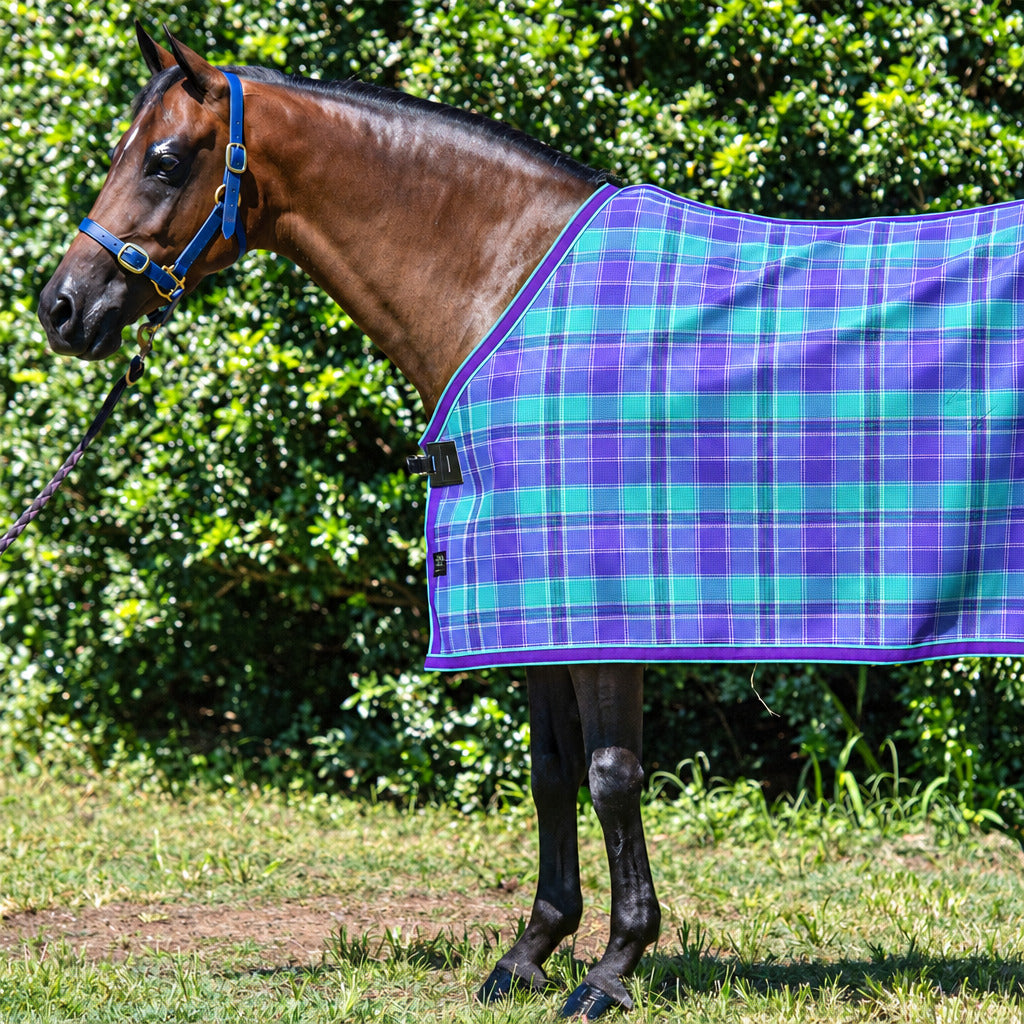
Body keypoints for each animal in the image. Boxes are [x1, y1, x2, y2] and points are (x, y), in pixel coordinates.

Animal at [38, 25, 656, 1020]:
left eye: (164, 161)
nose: (60, 307)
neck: (517, 291)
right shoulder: (529, 596)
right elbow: (552, 766)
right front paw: (530, 953)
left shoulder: (605, 601)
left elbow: (611, 774)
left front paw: (611, 969)